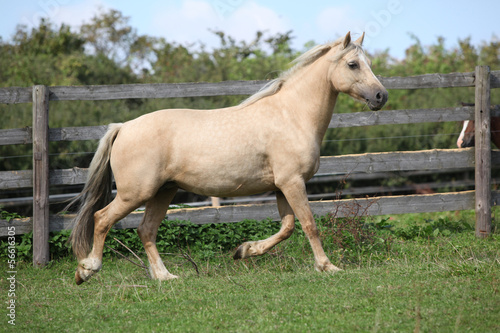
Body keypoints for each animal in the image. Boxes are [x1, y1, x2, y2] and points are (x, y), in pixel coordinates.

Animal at [68, 32, 388, 284]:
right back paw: (87, 270)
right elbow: (309, 224)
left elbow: (286, 228)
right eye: (352, 64)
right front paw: (327, 266)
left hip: (163, 192)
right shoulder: (293, 182)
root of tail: (123, 127)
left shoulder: (281, 186)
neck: (292, 115)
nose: (381, 96)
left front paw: (244, 250)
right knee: (101, 219)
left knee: (146, 230)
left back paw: (164, 276)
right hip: (135, 193)